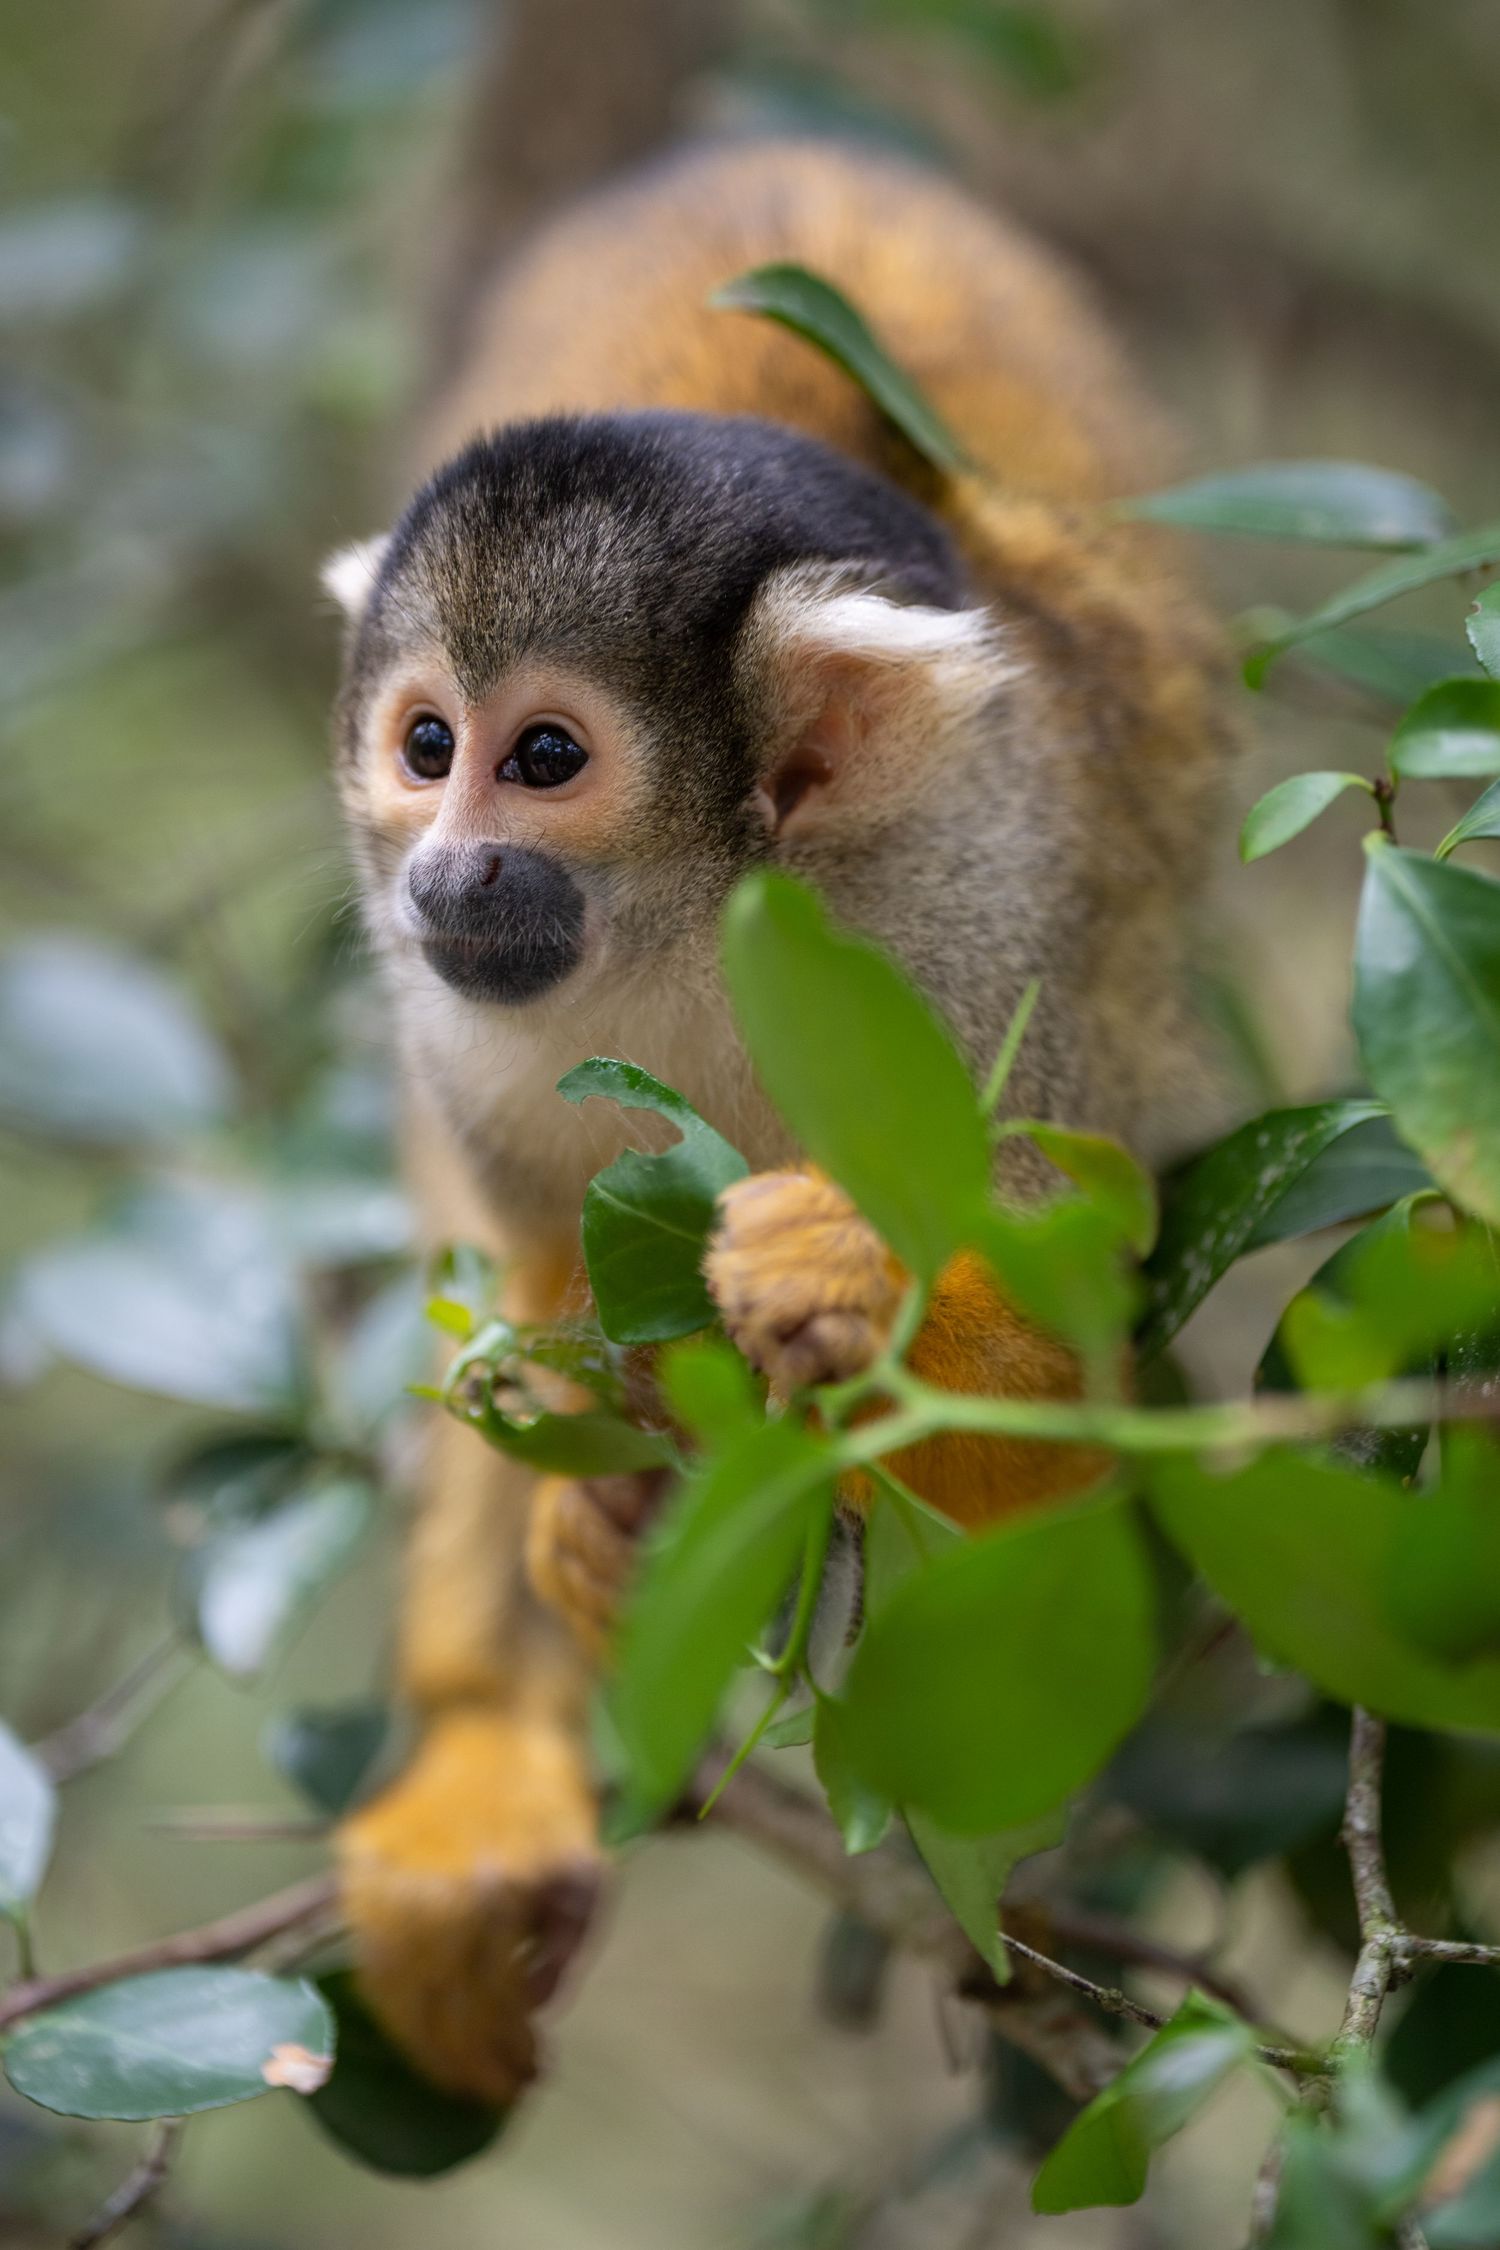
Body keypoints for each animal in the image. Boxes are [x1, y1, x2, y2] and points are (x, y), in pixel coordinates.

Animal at [323, 136, 1236, 2108]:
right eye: (427, 746)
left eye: (544, 759)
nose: (445, 871)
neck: (705, 930)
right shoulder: (464, 1038)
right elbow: (524, 1293)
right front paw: (588, 1525)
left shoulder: (986, 954)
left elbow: (1075, 1492)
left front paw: (845, 1285)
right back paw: (480, 1757)